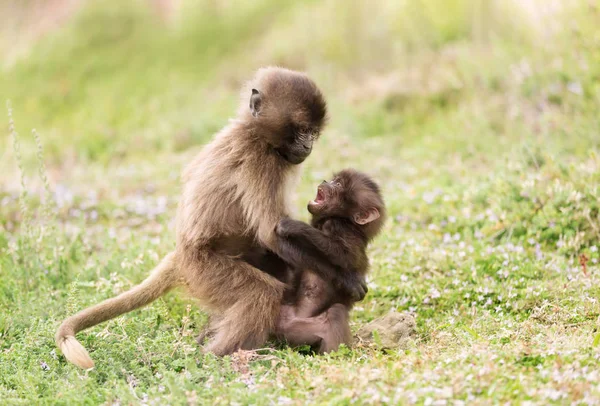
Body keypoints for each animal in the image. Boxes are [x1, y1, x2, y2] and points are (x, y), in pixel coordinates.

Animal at [54, 66, 330, 368]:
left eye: (313, 132)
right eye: (302, 130)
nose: (309, 145)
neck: (253, 132)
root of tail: (180, 255)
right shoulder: (261, 161)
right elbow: (272, 231)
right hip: (205, 270)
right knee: (262, 292)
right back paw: (221, 358)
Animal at [274, 168, 386, 352]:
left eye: (338, 184)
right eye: (335, 180)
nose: (326, 181)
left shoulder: (341, 228)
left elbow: (342, 254)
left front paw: (293, 226)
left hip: (305, 328)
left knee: (336, 312)